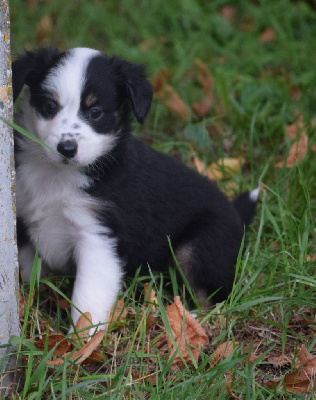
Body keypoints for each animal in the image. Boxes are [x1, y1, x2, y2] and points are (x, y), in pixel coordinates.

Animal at [12, 47, 260, 330]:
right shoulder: (24, 219)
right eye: (49, 107)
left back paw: (188, 321)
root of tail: (236, 213)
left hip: (200, 245)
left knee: (218, 298)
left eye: (95, 112)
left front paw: (83, 338)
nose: (67, 148)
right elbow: (27, 270)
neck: (57, 174)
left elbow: (87, 297)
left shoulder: (99, 236)